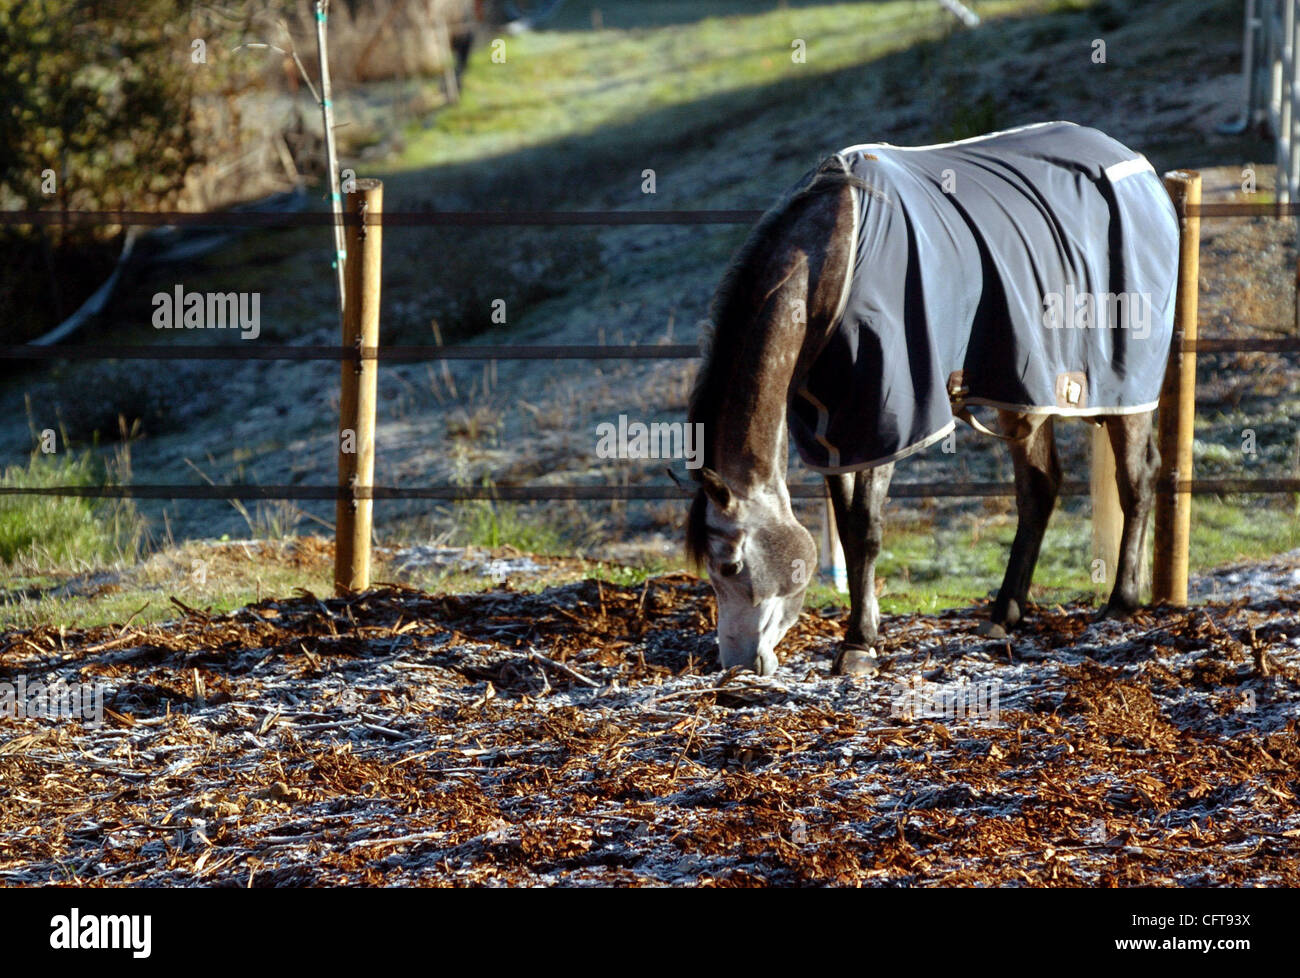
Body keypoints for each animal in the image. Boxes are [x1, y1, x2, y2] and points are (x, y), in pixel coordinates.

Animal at [686, 122, 1185, 676]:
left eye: (730, 564)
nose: (735, 662)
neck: (835, 261)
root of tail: (1145, 174)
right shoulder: (835, 432)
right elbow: (850, 530)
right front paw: (866, 630)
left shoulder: (890, 415)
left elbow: (866, 529)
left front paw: (858, 644)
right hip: (1026, 390)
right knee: (1039, 487)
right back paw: (1004, 614)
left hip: (1123, 386)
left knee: (1136, 479)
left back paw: (1121, 602)